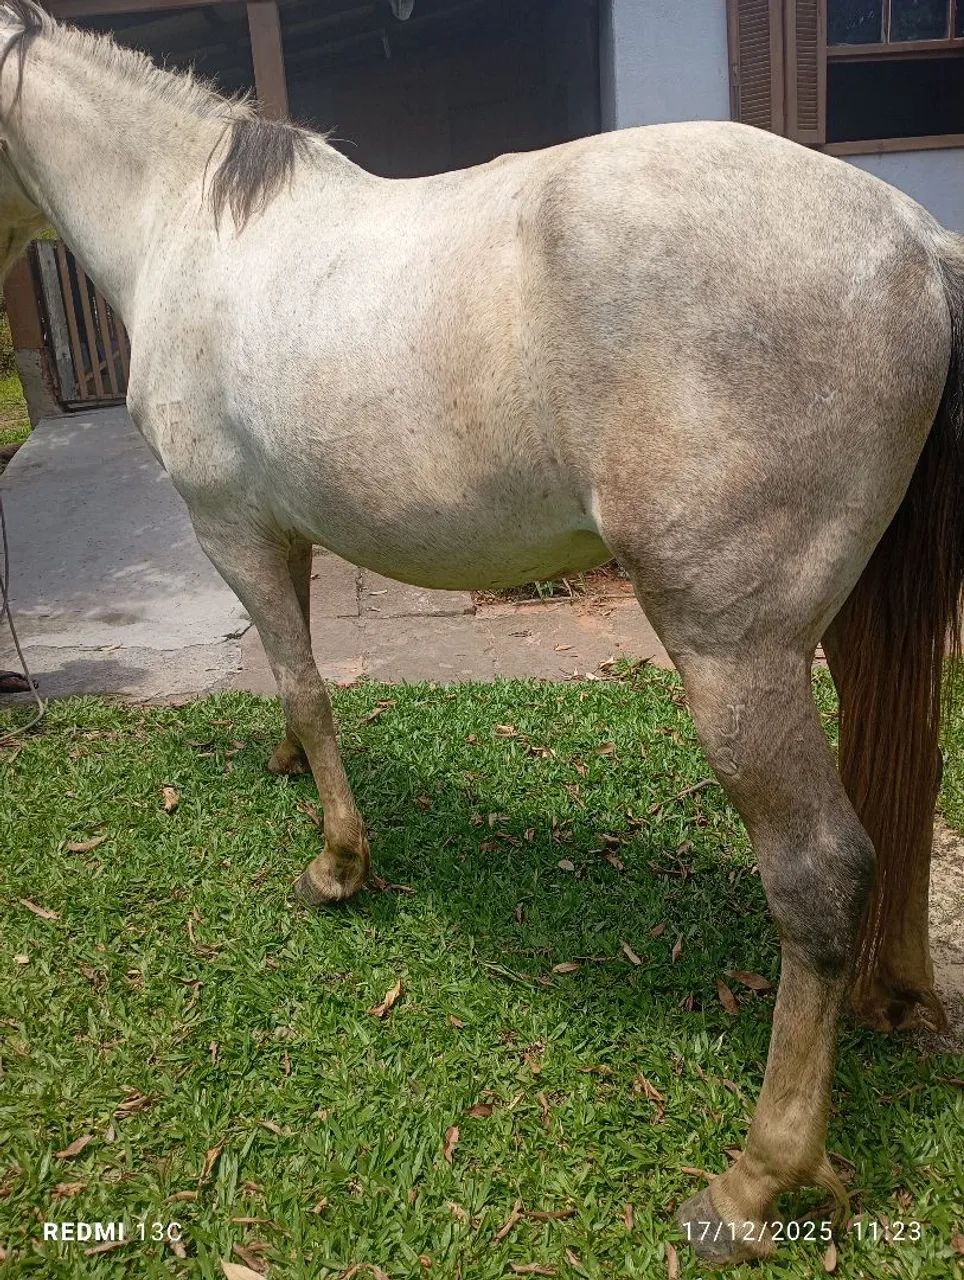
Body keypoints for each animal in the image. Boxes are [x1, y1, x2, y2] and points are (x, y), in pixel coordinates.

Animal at [0, 1, 960, 1265]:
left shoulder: (230, 528)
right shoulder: (283, 532)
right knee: (905, 779)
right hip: (855, 620)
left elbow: (303, 679)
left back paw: (754, 1182)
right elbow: (292, 672)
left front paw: (338, 863)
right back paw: (895, 998)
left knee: (818, 870)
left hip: (734, 653)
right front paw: (289, 772)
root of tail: (916, 241)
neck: (190, 226)